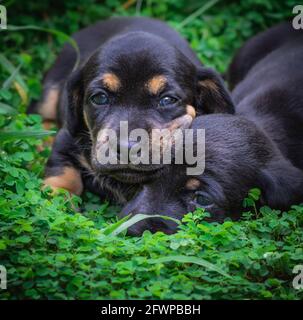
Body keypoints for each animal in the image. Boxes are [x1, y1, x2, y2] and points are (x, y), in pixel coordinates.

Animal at [35, 16, 235, 202]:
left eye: (167, 100)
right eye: (99, 98)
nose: (126, 149)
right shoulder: (66, 137)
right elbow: (62, 174)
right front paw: (55, 197)